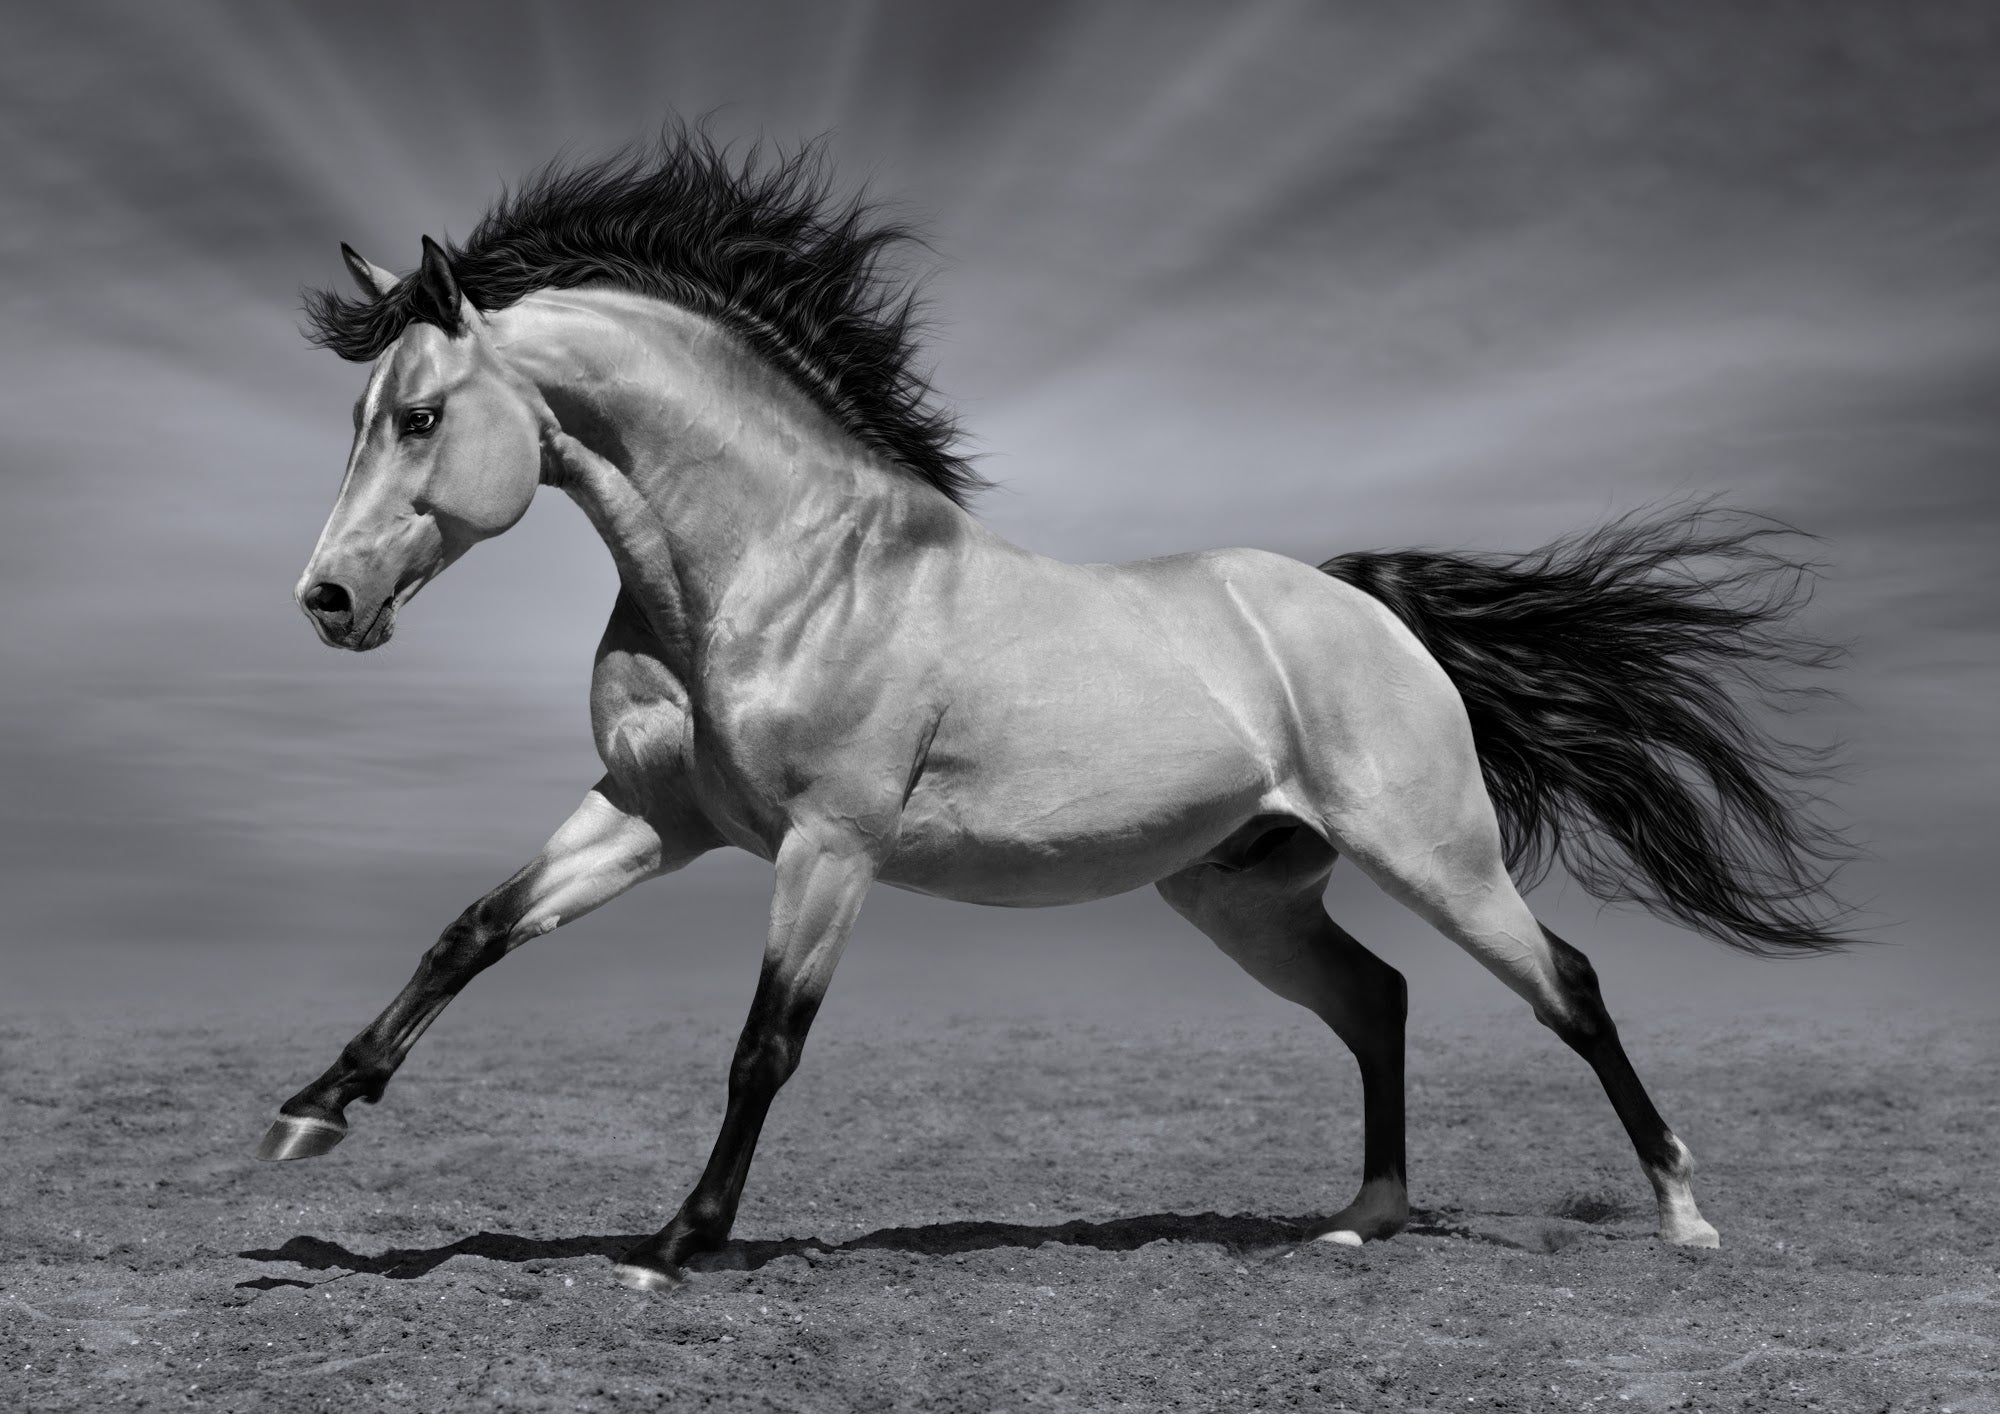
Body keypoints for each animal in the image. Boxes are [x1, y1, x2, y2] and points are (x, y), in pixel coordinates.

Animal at [263, 133, 1856, 1292]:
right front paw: (312, 1111)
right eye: (360, 417)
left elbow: (763, 1043)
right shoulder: (654, 816)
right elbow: (471, 930)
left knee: (1565, 984)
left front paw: (674, 1245)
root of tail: (1364, 607)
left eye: (418, 417)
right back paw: (1362, 1217)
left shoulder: (826, 847)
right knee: (1379, 999)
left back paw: (1683, 1215)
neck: (781, 568)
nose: (328, 600)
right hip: (1243, 893)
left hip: (1434, 852)